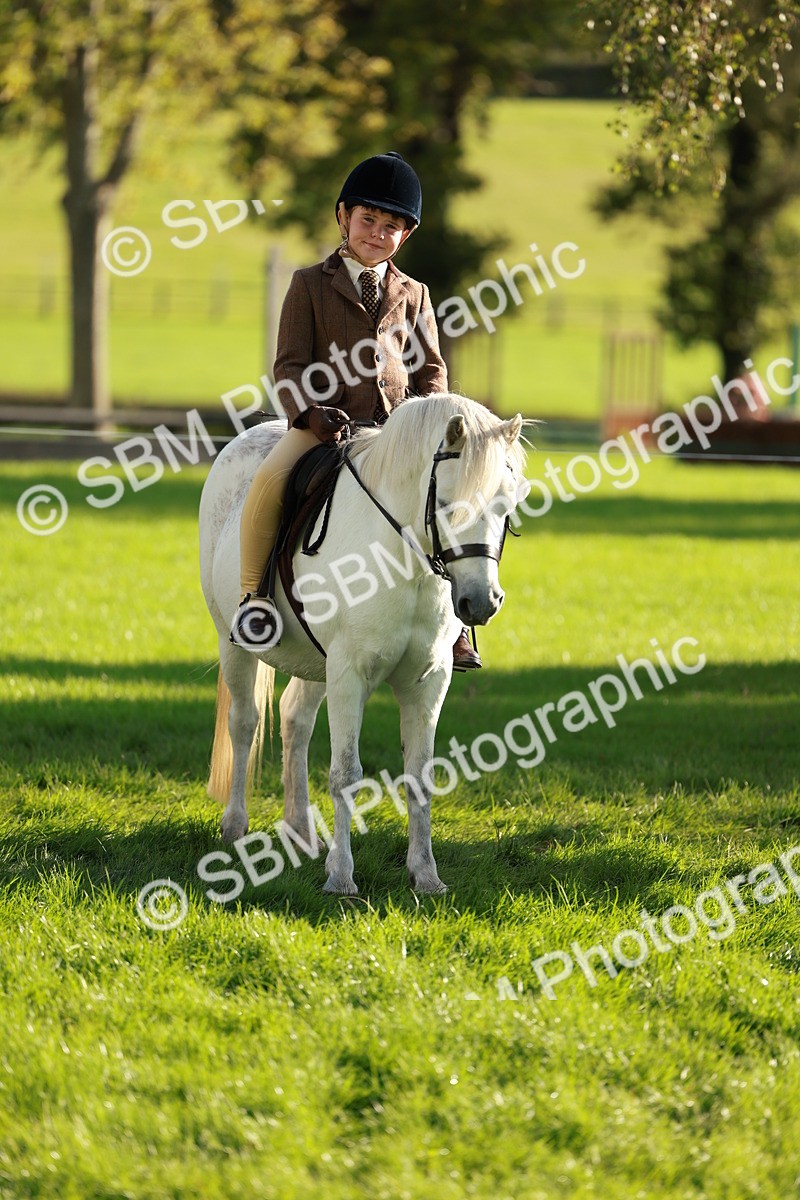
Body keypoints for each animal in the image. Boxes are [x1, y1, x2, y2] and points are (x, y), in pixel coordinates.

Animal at [199, 392, 528, 895]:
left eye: (505, 505)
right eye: (447, 505)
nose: (480, 602)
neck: (403, 562)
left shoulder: (428, 681)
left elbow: (420, 775)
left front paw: (426, 876)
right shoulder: (350, 673)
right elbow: (346, 774)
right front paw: (341, 877)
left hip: (317, 663)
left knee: (295, 721)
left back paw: (301, 831)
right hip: (234, 643)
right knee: (244, 722)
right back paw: (235, 826)